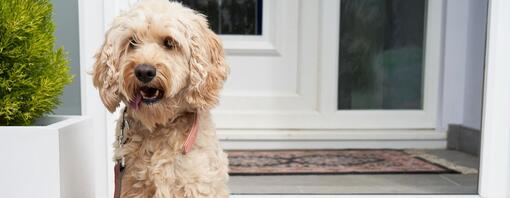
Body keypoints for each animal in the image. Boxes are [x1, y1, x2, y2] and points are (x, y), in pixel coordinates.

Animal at [91, 0, 229, 197]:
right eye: (132, 42)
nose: (144, 71)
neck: (158, 126)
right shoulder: (131, 186)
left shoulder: (197, 185)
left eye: (169, 42)